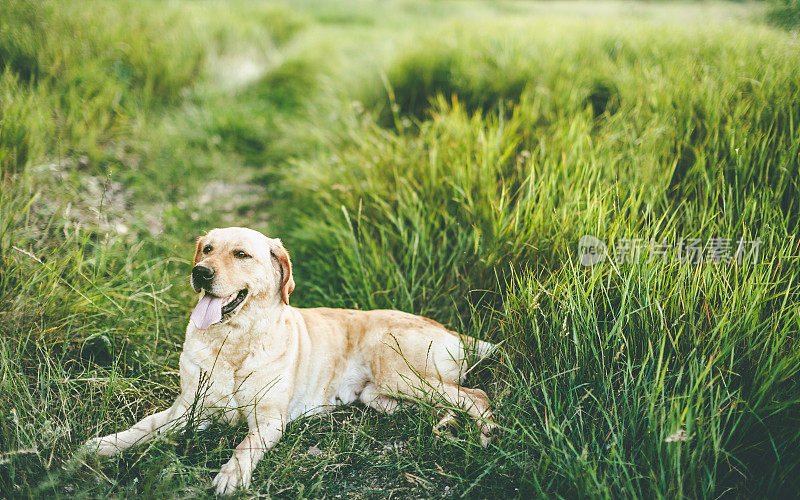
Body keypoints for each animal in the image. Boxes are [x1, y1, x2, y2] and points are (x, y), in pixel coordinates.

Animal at [83, 228, 494, 496]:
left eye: (241, 255)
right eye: (207, 249)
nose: (200, 272)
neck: (234, 342)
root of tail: (453, 331)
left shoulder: (267, 420)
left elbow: (244, 446)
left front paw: (232, 475)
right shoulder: (188, 408)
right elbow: (144, 426)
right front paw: (104, 445)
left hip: (398, 372)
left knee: (477, 397)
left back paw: (486, 436)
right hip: (380, 395)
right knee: (442, 404)